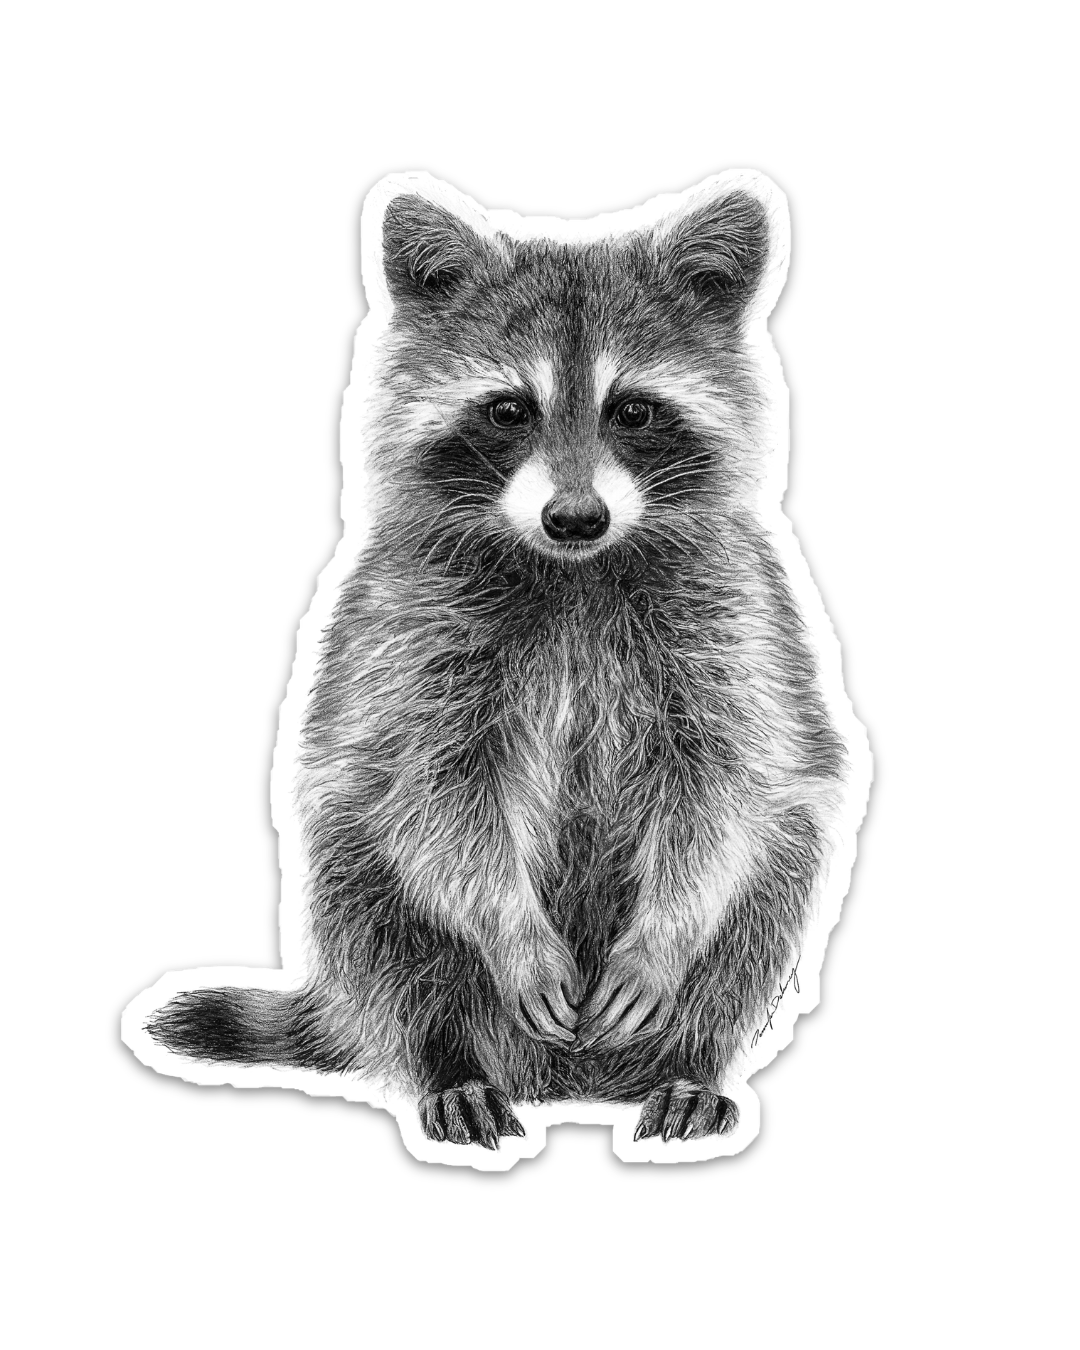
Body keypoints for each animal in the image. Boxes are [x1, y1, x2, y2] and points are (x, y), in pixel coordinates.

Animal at [140, 170, 864, 1150]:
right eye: (510, 409)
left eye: (634, 410)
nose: (576, 517)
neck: (575, 572)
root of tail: (569, 1081)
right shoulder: (411, 633)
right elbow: (437, 792)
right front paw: (515, 941)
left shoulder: (733, 620)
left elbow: (727, 784)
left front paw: (661, 941)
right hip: (361, 891)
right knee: (376, 903)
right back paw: (450, 1063)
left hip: (764, 898)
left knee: (769, 892)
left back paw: (691, 1061)